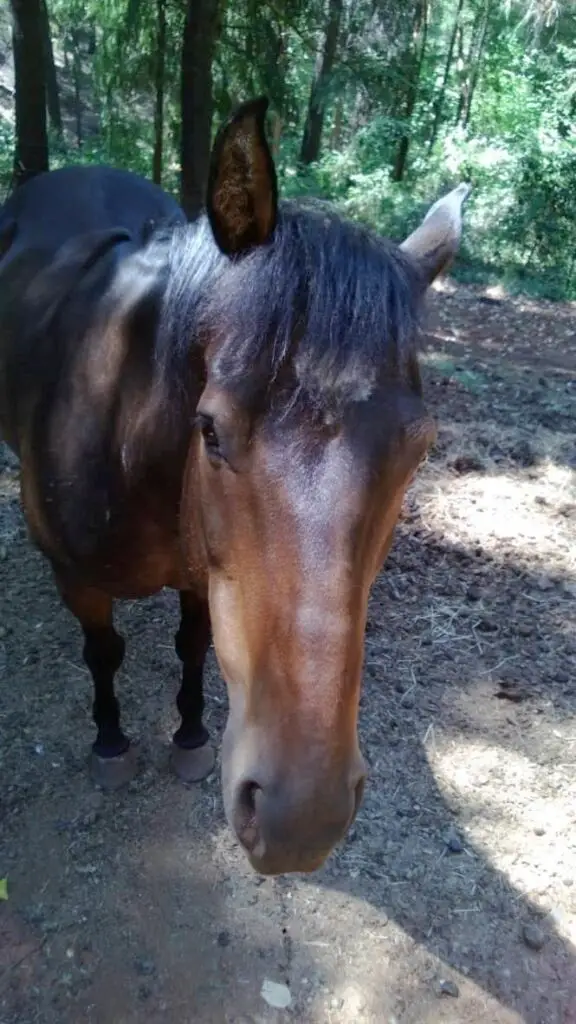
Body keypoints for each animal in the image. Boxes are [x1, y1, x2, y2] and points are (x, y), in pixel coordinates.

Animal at [0, 97, 470, 876]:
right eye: (211, 431)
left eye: (420, 448)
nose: (300, 820)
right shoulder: (77, 577)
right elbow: (103, 652)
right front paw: (111, 744)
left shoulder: (203, 572)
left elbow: (193, 645)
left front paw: (190, 736)